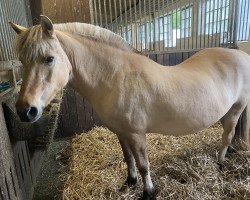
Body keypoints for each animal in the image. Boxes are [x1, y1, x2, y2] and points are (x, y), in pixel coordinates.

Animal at [8, 16, 250, 200]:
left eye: (49, 59)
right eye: (22, 61)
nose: (25, 110)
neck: (116, 77)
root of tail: (240, 54)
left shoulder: (136, 133)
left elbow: (143, 164)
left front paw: (148, 192)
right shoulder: (121, 132)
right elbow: (128, 158)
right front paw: (130, 181)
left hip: (236, 109)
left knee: (227, 136)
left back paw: (220, 163)